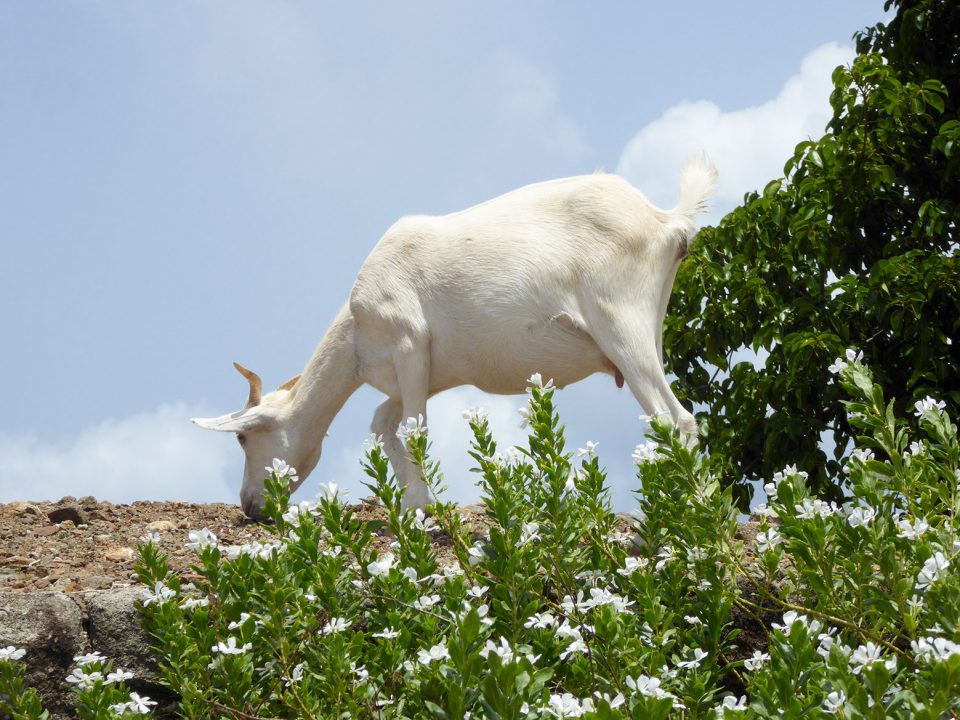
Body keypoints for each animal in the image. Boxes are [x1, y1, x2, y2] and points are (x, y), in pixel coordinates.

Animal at [195, 158, 716, 516]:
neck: (356, 333)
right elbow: (384, 424)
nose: (250, 506)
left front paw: (422, 511)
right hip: (649, 329)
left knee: (675, 419)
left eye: (243, 438)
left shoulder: (408, 344)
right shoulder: (423, 375)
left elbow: (414, 429)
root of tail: (666, 220)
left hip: (620, 326)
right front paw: (412, 504)